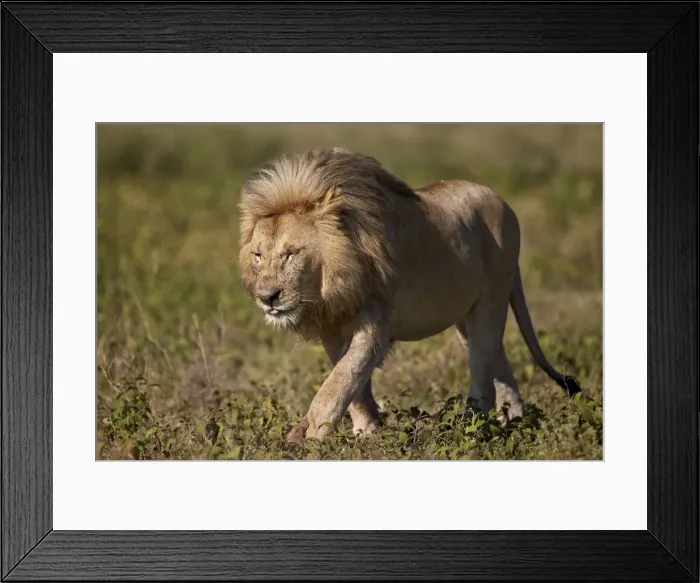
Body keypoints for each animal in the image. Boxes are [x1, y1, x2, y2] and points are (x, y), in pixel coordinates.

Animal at [238, 147, 582, 443]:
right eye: (258, 256)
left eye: (291, 254)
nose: (267, 297)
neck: (330, 290)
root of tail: (502, 200)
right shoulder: (332, 330)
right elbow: (354, 389)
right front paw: (367, 434)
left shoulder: (375, 325)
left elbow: (338, 382)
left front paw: (307, 440)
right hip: (465, 317)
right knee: (500, 366)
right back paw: (513, 421)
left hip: (491, 299)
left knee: (483, 374)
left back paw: (470, 430)